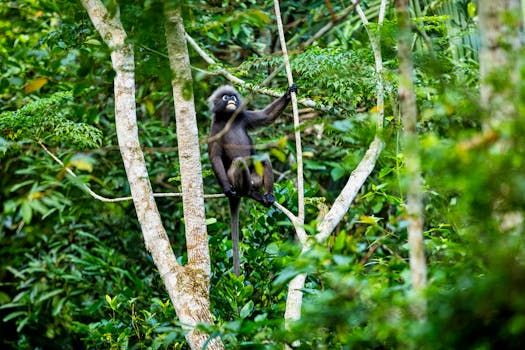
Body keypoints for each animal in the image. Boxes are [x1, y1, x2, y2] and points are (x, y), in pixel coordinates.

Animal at [208, 84, 296, 276]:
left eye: (233, 97)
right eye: (225, 97)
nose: (231, 100)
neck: (228, 118)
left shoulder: (242, 116)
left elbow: (265, 117)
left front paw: (288, 93)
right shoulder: (215, 128)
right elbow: (215, 156)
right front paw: (226, 189)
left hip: (257, 176)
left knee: (263, 159)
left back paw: (268, 196)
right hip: (235, 178)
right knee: (239, 163)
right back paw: (247, 192)